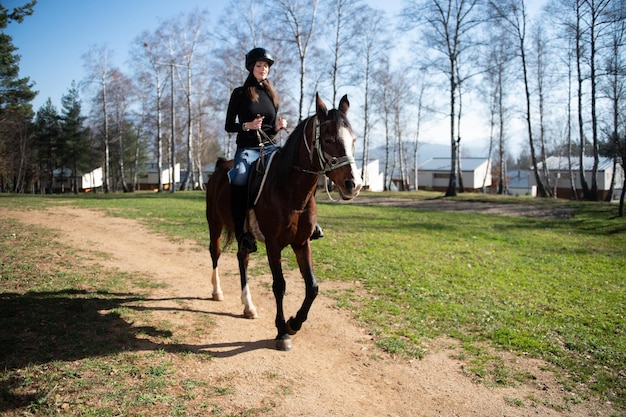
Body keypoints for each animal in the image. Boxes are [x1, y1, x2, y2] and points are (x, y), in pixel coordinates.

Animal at [205, 92, 360, 350]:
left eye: (354, 140)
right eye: (328, 140)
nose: (354, 184)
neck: (288, 190)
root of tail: (219, 167)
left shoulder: (301, 243)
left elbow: (312, 287)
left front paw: (293, 323)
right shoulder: (273, 244)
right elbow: (279, 285)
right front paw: (282, 332)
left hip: (243, 235)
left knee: (242, 258)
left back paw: (248, 306)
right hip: (214, 224)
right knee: (215, 254)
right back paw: (217, 292)